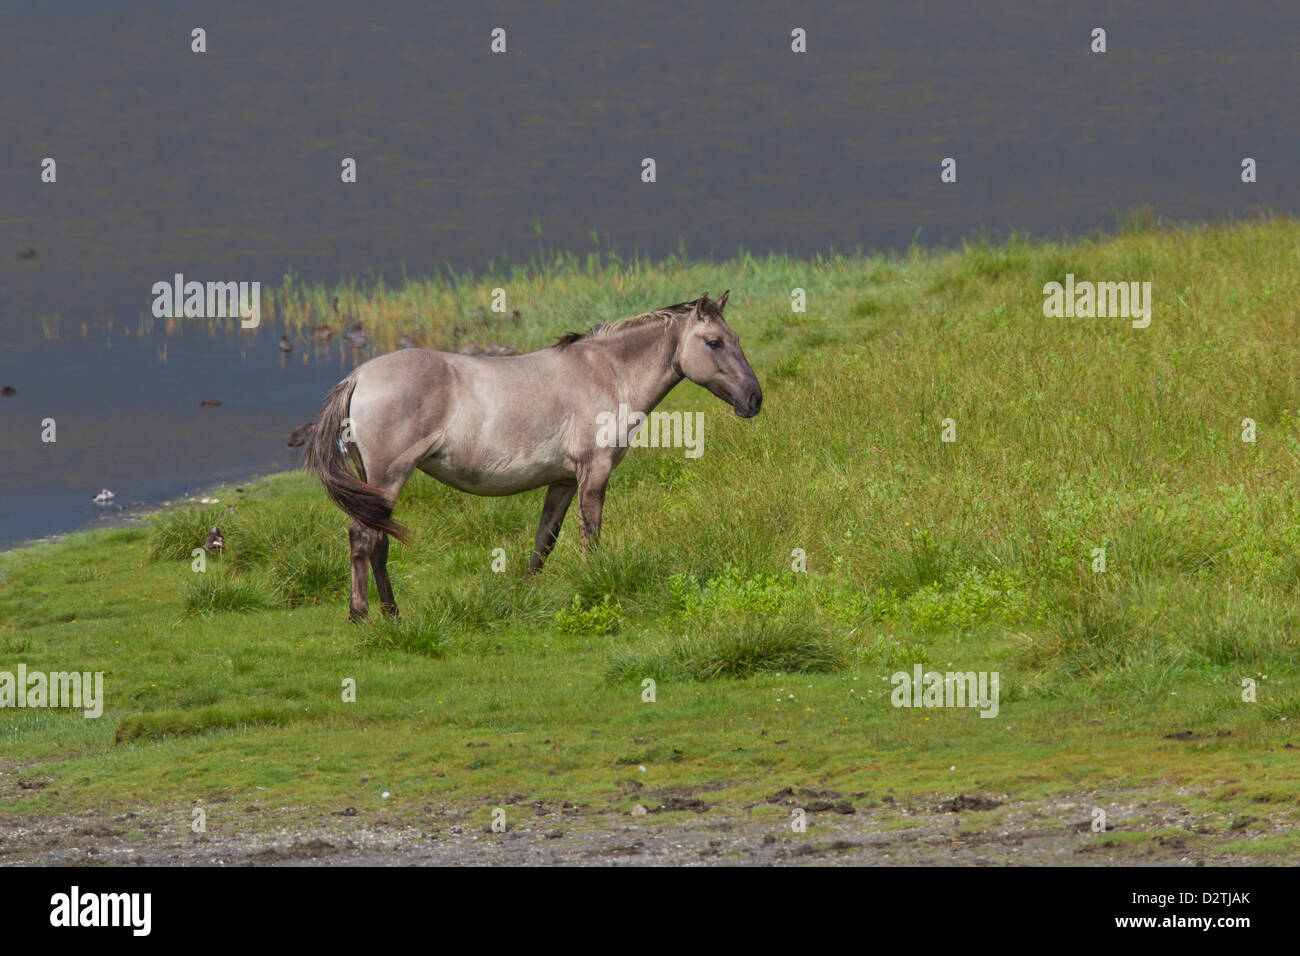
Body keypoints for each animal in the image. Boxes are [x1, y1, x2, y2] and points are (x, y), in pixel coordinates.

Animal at [306, 291, 759, 621]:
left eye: (737, 340)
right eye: (714, 343)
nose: (754, 399)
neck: (607, 373)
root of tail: (359, 376)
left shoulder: (563, 480)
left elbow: (545, 540)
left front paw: (524, 595)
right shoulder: (594, 472)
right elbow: (590, 533)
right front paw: (593, 586)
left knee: (378, 541)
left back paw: (391, 613)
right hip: (388, 476)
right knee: (364, 538)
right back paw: (362, 615)